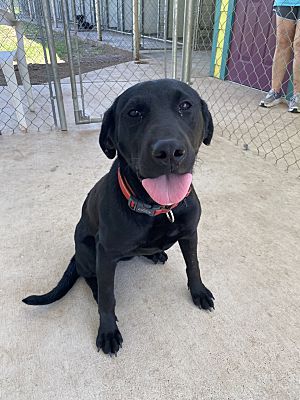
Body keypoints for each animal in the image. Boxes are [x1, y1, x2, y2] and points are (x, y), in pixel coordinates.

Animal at [24, 79, 216, 354]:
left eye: (185, 106)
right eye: (134, 113)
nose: (169, 150)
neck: (157, 207)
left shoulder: (190, 234)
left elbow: (194, 266)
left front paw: (199, 292)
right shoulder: (105, 253)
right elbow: (107, 296)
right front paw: (107, 330)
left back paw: (155, 253)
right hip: (87, 251)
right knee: (89, 277)